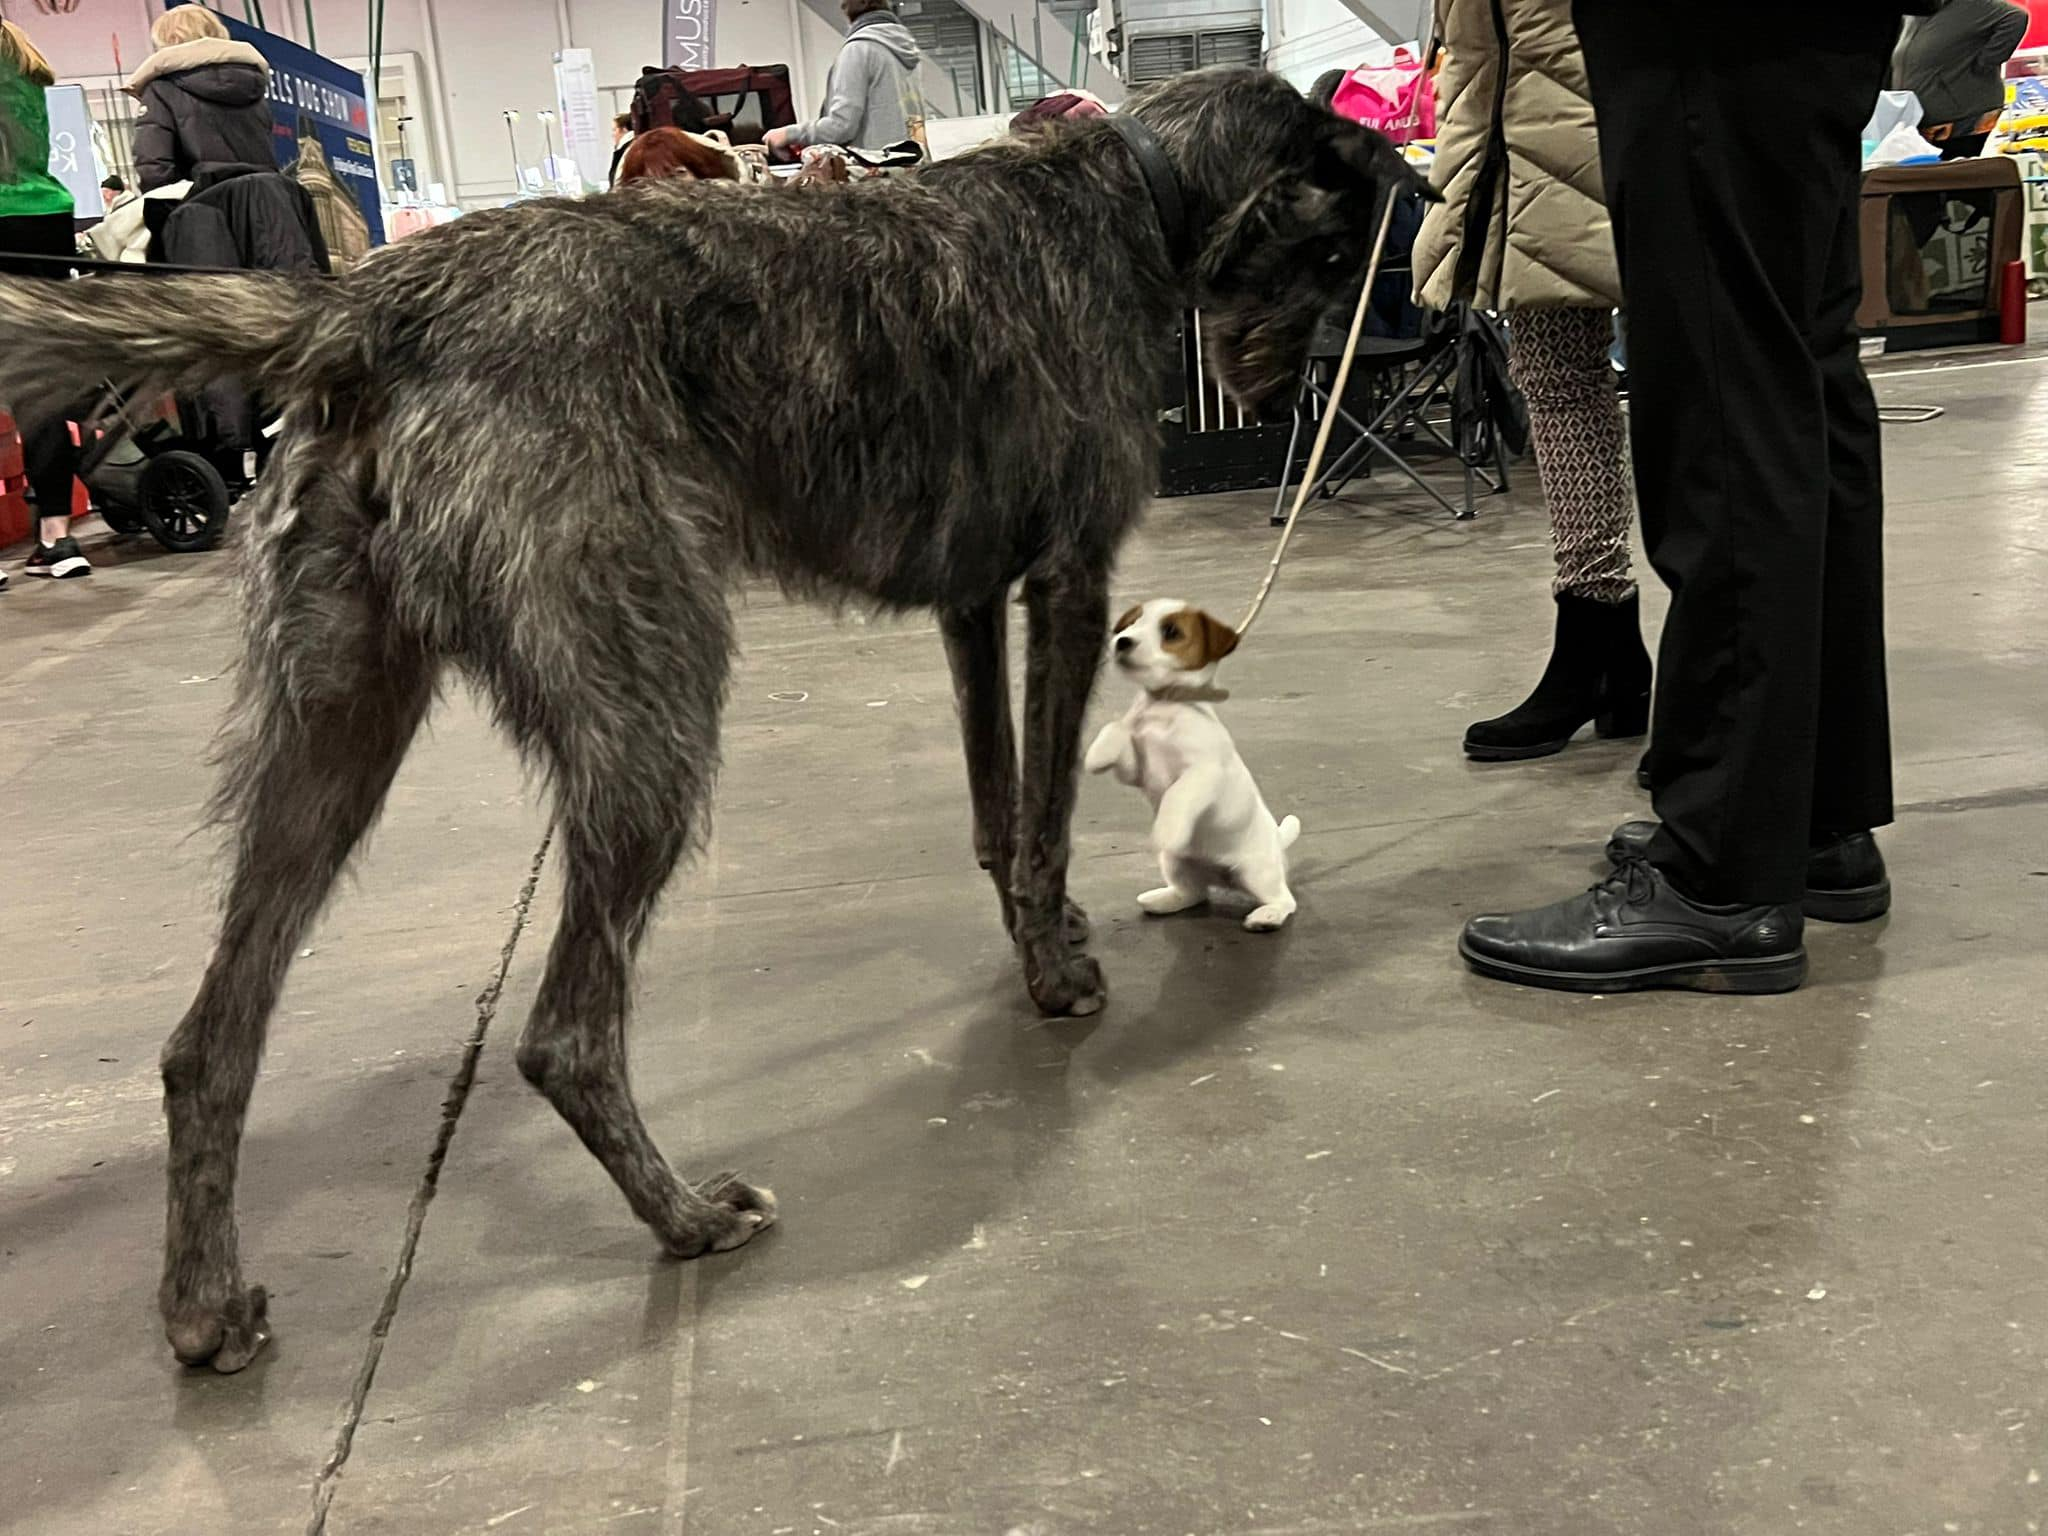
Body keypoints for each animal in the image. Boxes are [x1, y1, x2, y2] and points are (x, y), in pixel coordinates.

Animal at [1089, 602, 1294, 937]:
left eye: (1171, 632)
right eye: (1131, 623)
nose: (1122, 641)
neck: (1164, 705)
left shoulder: (1203, 772)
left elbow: (1179, 793)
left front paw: (1168, 827)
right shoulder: (1136, 771)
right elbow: (1118, 728)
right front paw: (1098, 753)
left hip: (1256, 873)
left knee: (1285, 899)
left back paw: (1268, 916)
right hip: (1175, 863)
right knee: (1194, 893)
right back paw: (1163, 899)